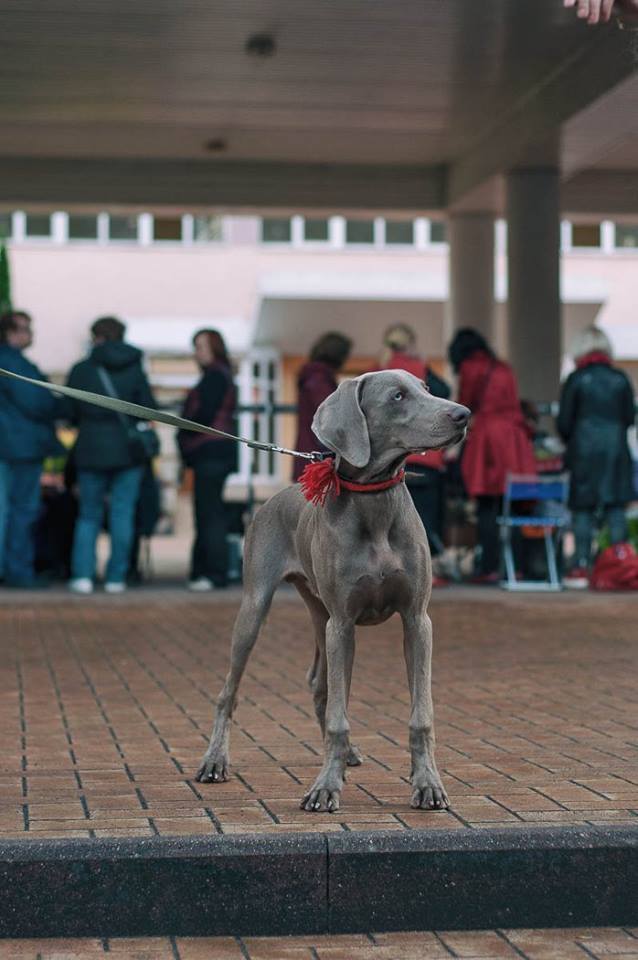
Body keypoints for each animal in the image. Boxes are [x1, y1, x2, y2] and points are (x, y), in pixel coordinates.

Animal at [195, 372, 470, 812]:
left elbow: (421, 715)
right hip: (260, 608)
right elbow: (340, 716)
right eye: (397, 396)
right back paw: (215, 761)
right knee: (229, 691)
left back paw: (347, 755)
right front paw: (325, 787)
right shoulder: (343, 622)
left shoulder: (416, 620)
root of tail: (274, 496)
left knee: (318, 683)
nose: (463, 414)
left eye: (427, 388)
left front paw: (428, 783)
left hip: (320, 614)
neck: (374, 503)